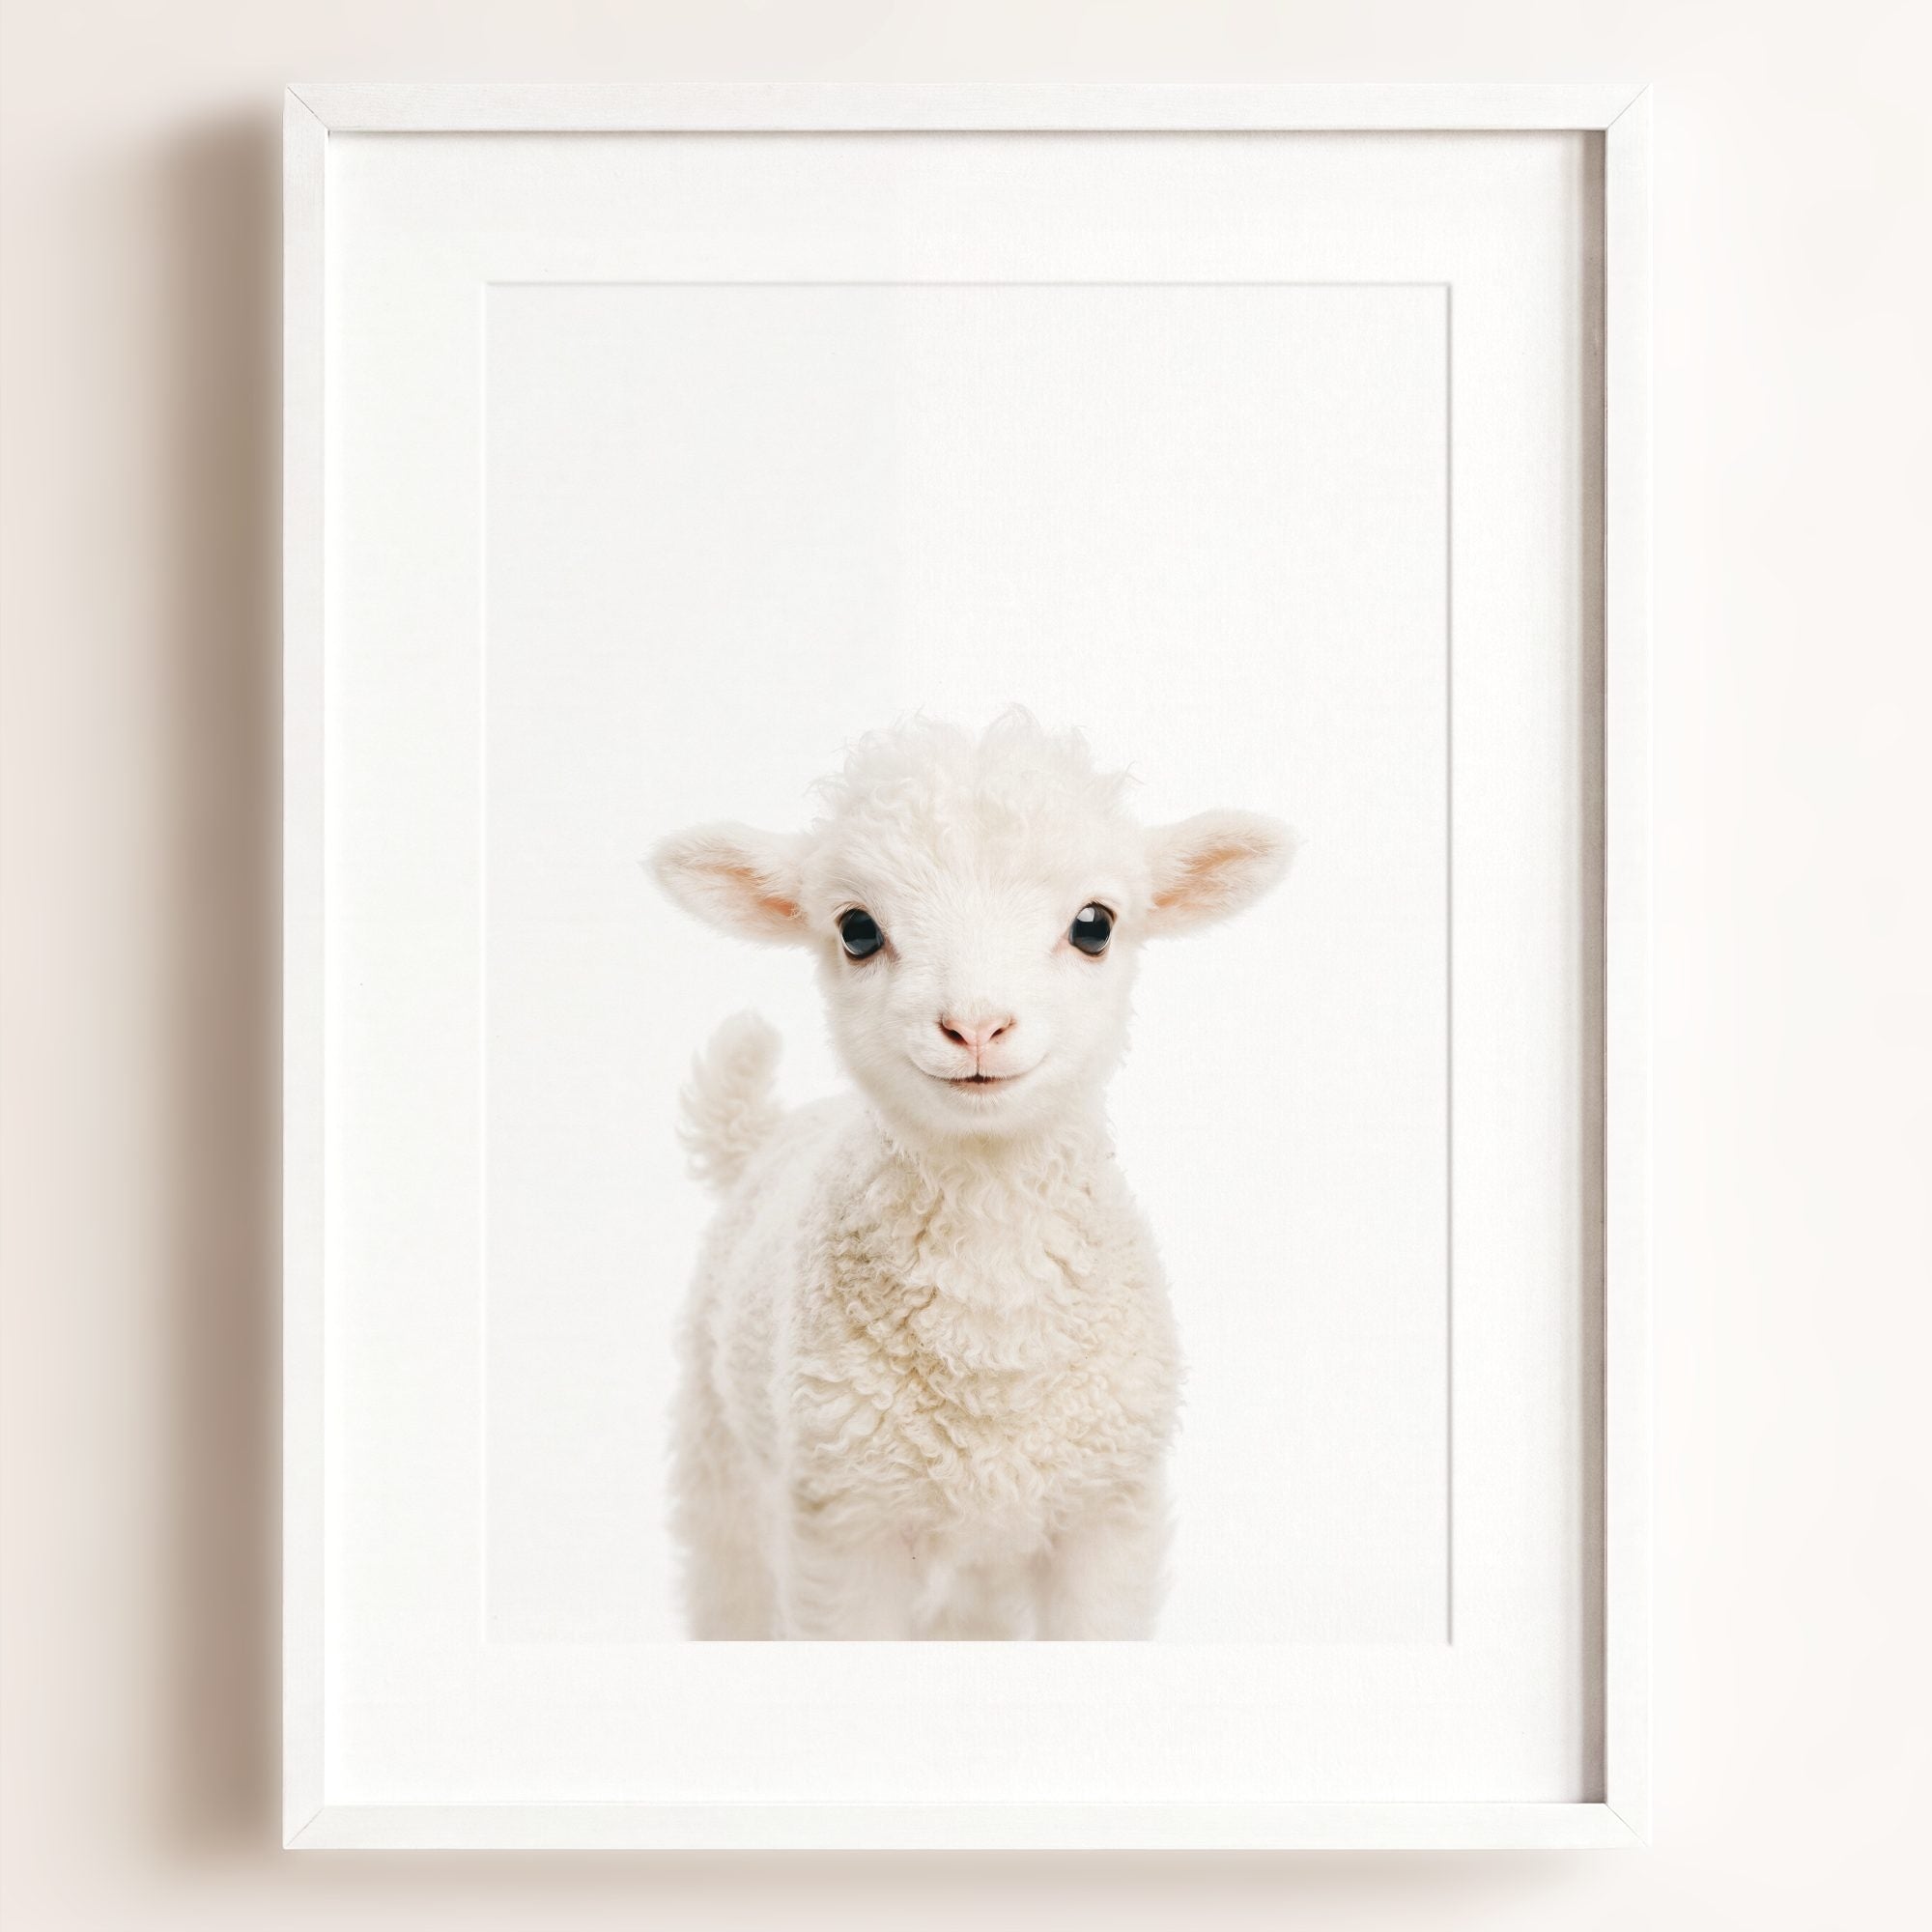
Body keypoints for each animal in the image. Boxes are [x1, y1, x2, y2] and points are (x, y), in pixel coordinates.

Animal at [649, 710, 1296, 1639]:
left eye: (1095, 924)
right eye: (856, 930)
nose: (977, 1026)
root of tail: (768, 1131)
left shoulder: (1105, 1514)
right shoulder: (844, 1527)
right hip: (722, 1462)